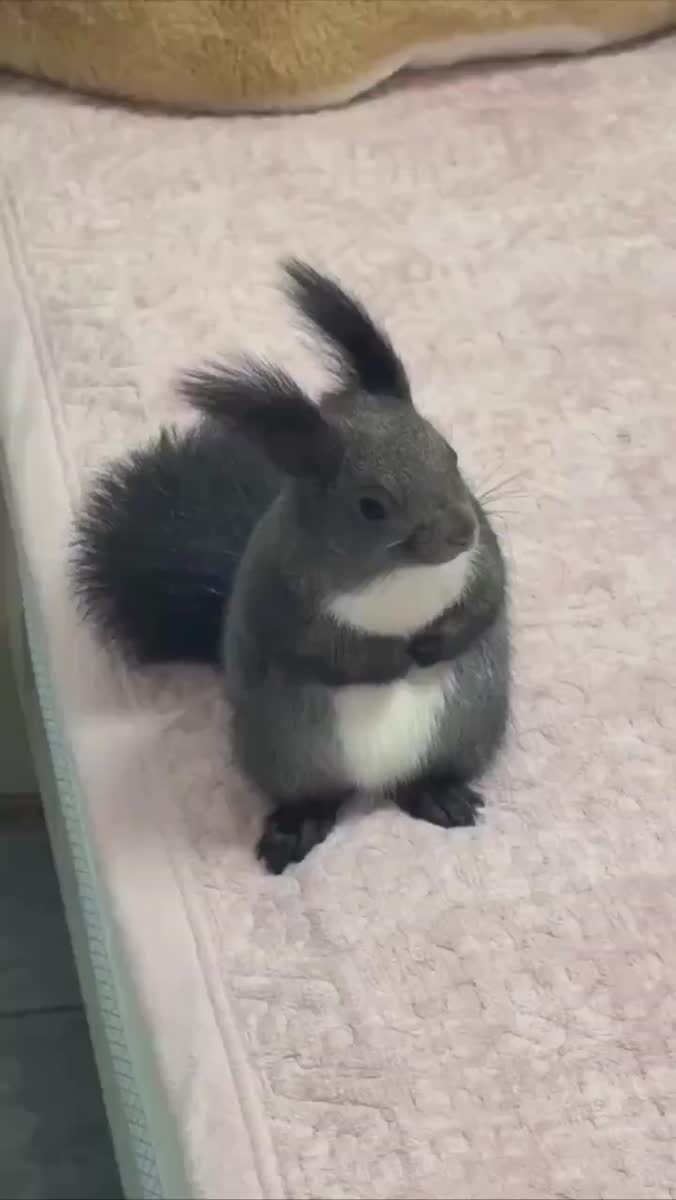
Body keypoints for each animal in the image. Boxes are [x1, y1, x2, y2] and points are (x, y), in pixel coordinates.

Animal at [72, 262, 510, 873]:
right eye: (371, 505)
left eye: (450, 453)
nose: (459, 533)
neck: (395, 575)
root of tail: (378, 785)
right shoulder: (279, 589)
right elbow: (321, 650)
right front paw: (393, 658)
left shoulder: (484, 557)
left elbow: (489, 597)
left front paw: (437, 642)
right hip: (286, 753)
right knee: (317, 796)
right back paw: (297, 826)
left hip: (468, 728)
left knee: (426, 776)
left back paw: (437, 793)